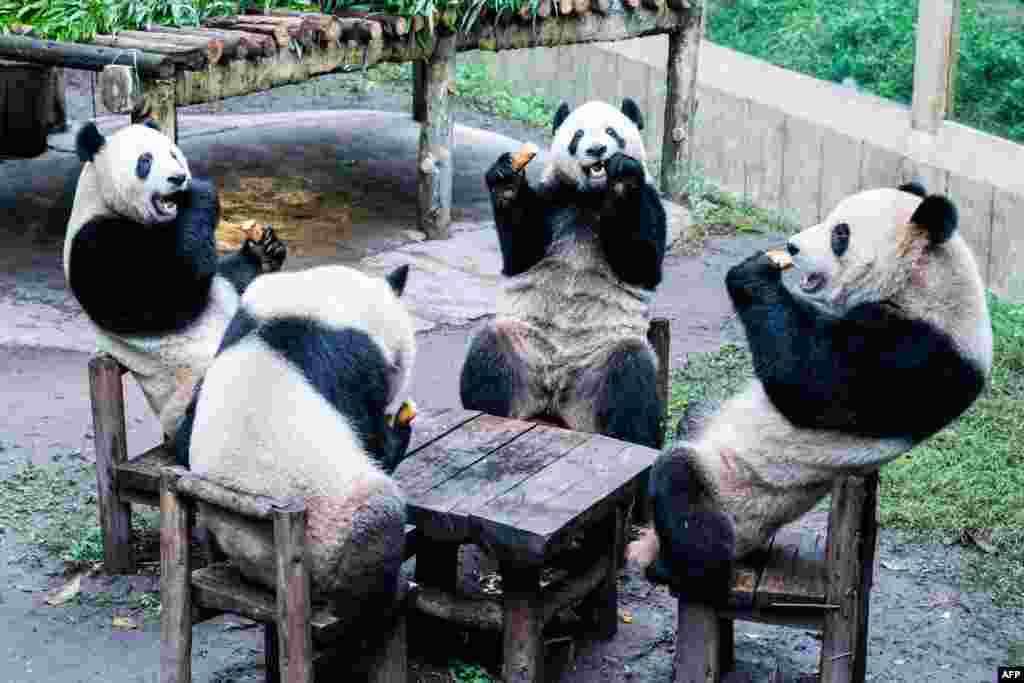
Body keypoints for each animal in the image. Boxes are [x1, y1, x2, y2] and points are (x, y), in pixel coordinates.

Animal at [62, 120, 288, 440]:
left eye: (173, 154)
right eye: (145, 161)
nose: (178, 178)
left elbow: (223, 274)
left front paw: (263, 250)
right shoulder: (93, 245)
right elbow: (164, 296)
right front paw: (201, 193)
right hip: (198, 396)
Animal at [172, 264, 415, 651]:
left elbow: (183, 434)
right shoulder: (349, 360)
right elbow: (372, 439)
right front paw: (399, 431)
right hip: (330, 530)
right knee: (375, 520)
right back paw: (377, 602)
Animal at [460, 97, 667, 448]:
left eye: (612, 131)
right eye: (578, 135)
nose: (597, 150)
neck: (591, 196)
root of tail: (555, 403)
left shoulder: (651, 201)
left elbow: (641, 263)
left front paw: (623, 178)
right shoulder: (553, 200)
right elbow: (521, 253)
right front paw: (506, 180)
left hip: (598, 363)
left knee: (630, 375)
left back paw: (633, 439)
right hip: (527, 348)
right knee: (492, 353)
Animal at [622, 181, 991, 602]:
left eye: (840, 234)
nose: (792, 246)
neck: (927, 282)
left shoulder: (917, 357)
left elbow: (809, 382)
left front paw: (753, 272)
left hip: (735, 496)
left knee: (684, 493)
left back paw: (677, 569)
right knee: (695, 417)